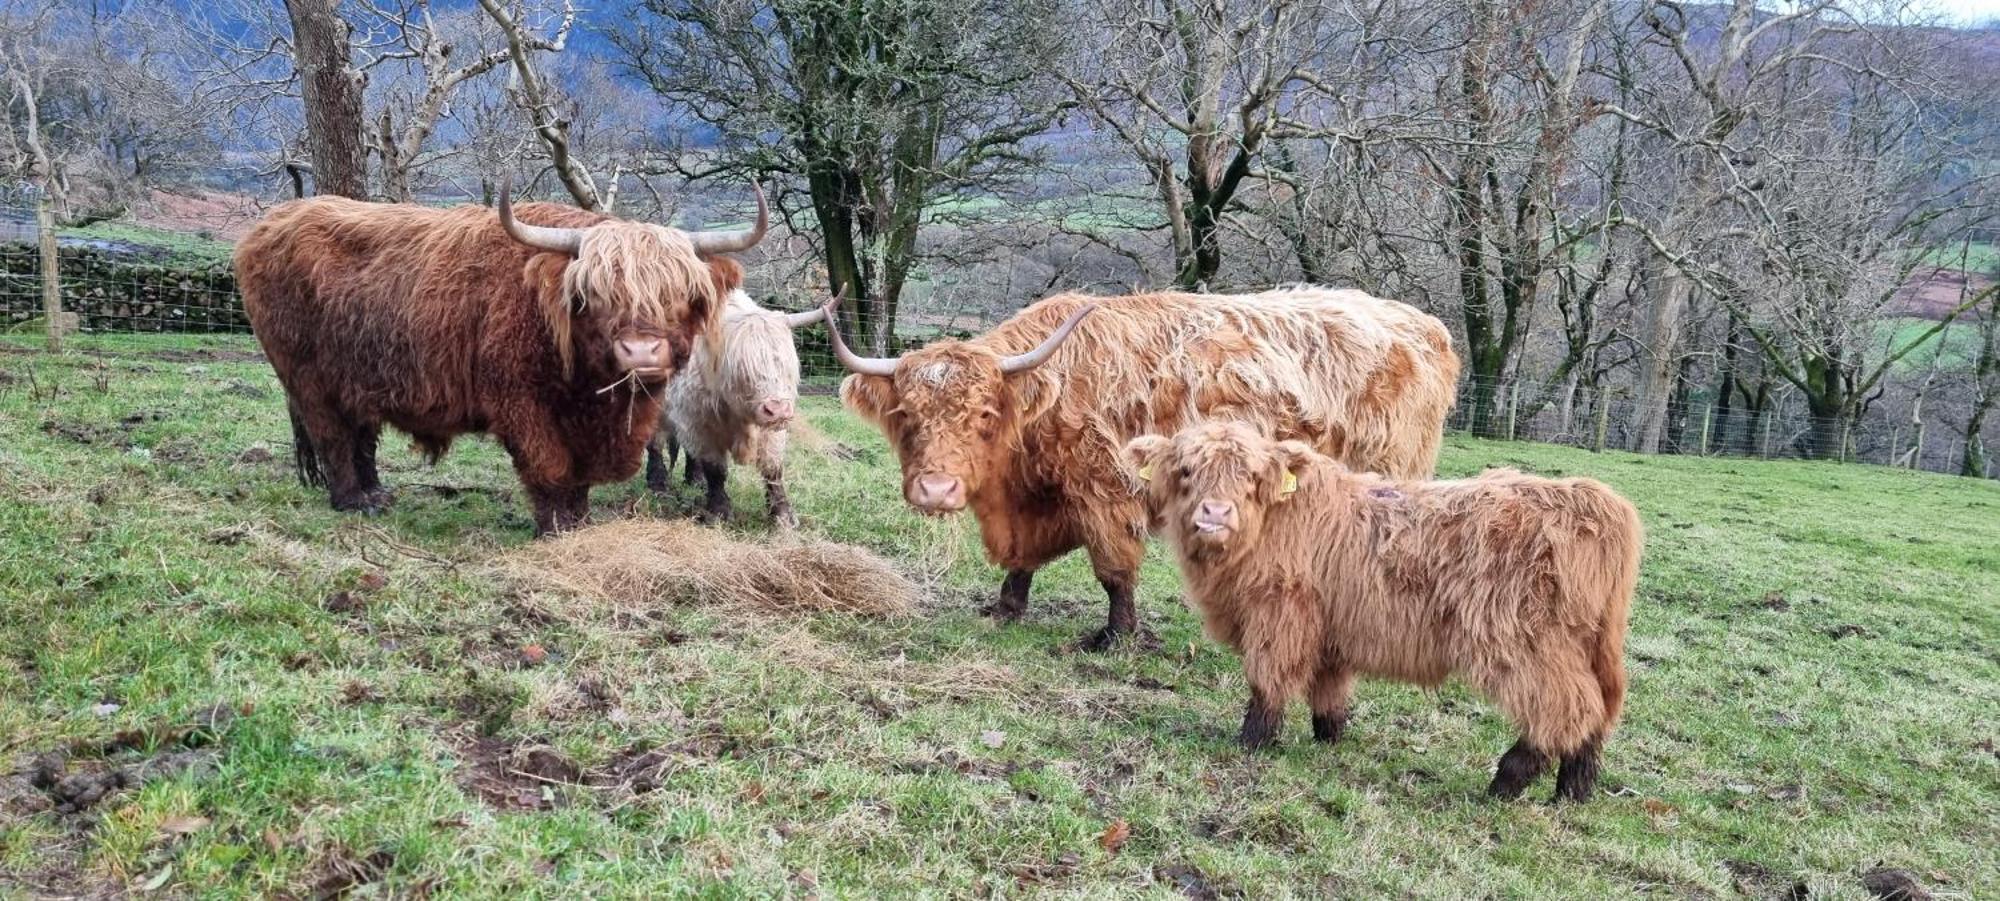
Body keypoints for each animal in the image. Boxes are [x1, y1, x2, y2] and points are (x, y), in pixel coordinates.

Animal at [234, 179, 764, 536]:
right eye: (590, 294)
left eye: (683, 293)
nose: (640, 351)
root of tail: (273, 222)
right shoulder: (522, 404)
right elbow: (550, 467)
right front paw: (555, 528)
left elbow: (579, 477)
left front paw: (579, 520)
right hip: (307, 378)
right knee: (333, 437)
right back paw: (352, 502)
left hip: (359, 379)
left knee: (361, 436)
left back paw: (376, 493)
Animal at [648, 288, 820, 528]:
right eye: (742, 368)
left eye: (785, 365)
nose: (777, 410)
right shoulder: (702, 425)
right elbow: (716, 470)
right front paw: (719, 511)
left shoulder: (770, 431)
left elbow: (773, 468)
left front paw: (784, 516)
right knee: (655, 443)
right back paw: (658, 485)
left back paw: (695, 480)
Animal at [820, 288, 1464, 648]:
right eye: (906, 413)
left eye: (983, 413)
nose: (935, 488)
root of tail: (1425, 325)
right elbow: (1024, 562)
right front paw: (1004, 608)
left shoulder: (1106, 490)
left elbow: (1113, 569)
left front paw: (1115, 637)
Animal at [1128, 422, 1640, 800]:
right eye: (1186, 470)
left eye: (1251, 478)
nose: (1215, 513)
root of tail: (1592, 499)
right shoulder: (1329, 629)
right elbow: (1329, 690)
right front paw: (1329, 739)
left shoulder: (1279, 613)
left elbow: (1268, 680)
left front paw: (1252, 741)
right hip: (1594, 645)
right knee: (1601, 709)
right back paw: (1573, 790)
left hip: (1520, 640)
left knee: (1566, 707)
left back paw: (1506, 780)